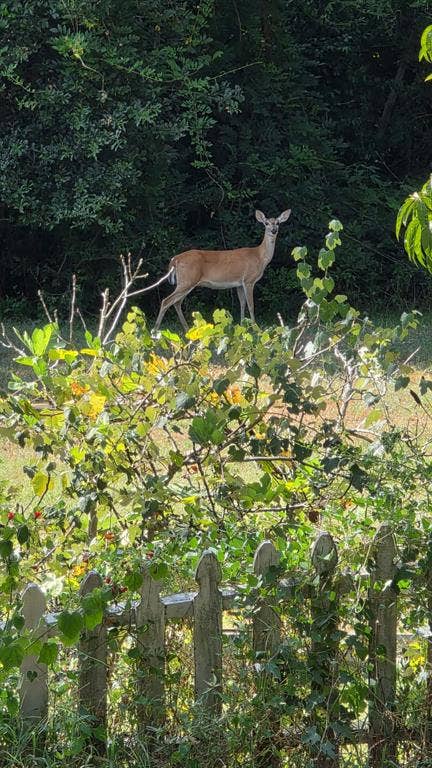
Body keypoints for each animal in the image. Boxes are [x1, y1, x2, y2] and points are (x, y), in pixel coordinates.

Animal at [147, 208, 292, 331]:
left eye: (278, 223)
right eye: (266, 223)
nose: (274, 230)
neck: (259, 256)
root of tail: (175, 259)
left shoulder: (239, 283)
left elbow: (242, 303)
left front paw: (242, 326)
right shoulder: (249, 280)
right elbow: (251, 305)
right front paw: (256, 329)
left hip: (186, 282)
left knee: (176, 302)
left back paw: (187, 329)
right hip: (187, 280)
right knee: (166, 301)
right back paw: (155, 330)